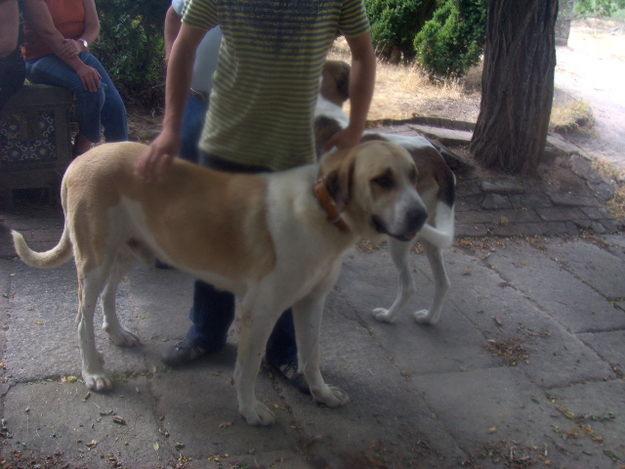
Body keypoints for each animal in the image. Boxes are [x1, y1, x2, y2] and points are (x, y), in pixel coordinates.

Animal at [12, 140, 429, 426]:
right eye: (382, 180)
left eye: (413, 176)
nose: (422, 216)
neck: (322, 208)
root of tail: (81, 159)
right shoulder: (261, 311)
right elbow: (249, 366)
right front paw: (250, 410)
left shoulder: (312, 302)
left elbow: (311, 357)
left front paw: (321, 393)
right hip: (95, 260)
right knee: (81, 319)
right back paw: (93, 373)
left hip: (124, 253)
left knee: (109, 298)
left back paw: (117, 333)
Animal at [316, 60, 456, 326]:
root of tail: (438, 159)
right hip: (431, 234)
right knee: (444, 283)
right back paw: (429, 318)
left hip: (401, 234)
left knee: (409, 286)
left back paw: (388, 316)